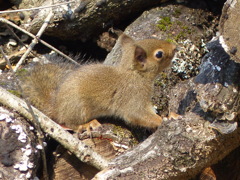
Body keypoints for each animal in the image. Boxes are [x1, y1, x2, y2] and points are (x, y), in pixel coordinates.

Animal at [21, 34, 176, 134]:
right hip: (79, 108)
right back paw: (87, 124)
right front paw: (162, 120)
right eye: (159, 54)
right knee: (67, 122)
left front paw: (170, 115)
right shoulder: (132, 95)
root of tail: (56, 108)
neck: (135, 74)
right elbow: (137, 115)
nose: (174, 47)